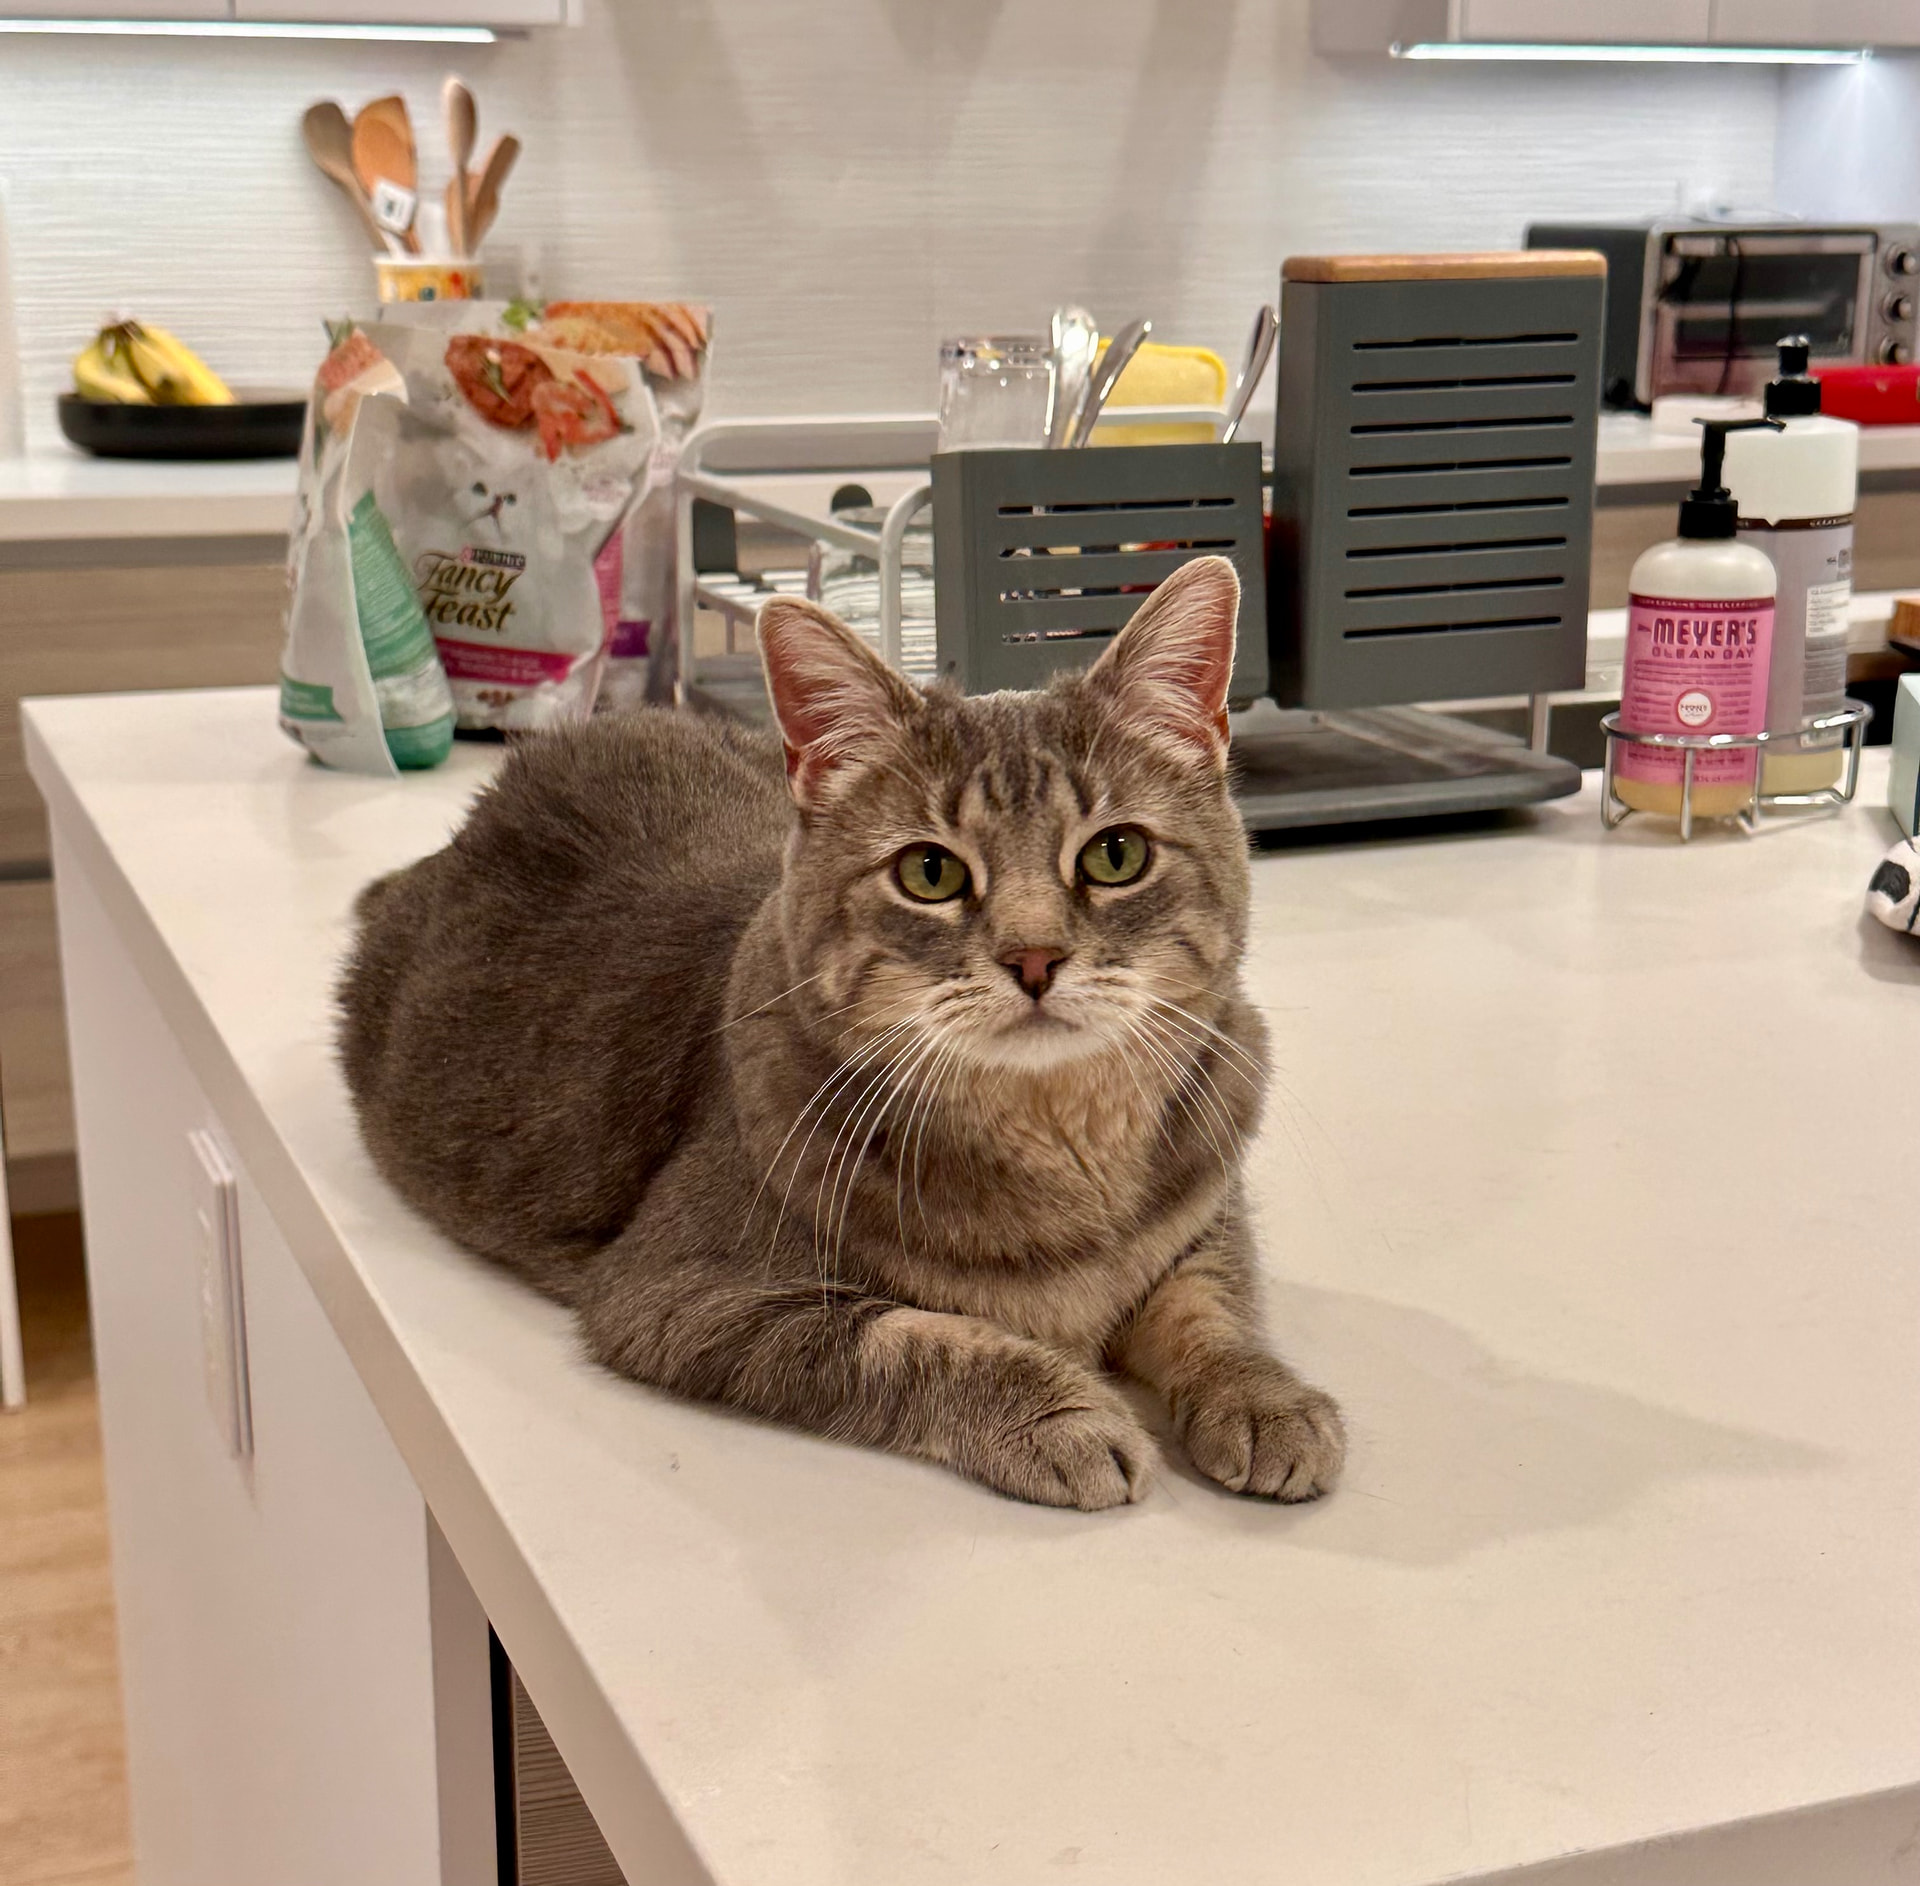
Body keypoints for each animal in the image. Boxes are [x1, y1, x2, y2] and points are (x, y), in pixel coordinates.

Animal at [338, 555, 1344, 1509]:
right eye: (931, 872)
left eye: (1116, 854)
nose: (1034, 957)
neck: (1061, 1143)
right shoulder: (678, 1297)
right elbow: (919, 1339)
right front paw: (1059, 1414)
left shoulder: (1207, 1211)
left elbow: (1211, 1304)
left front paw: (1265, 1397)